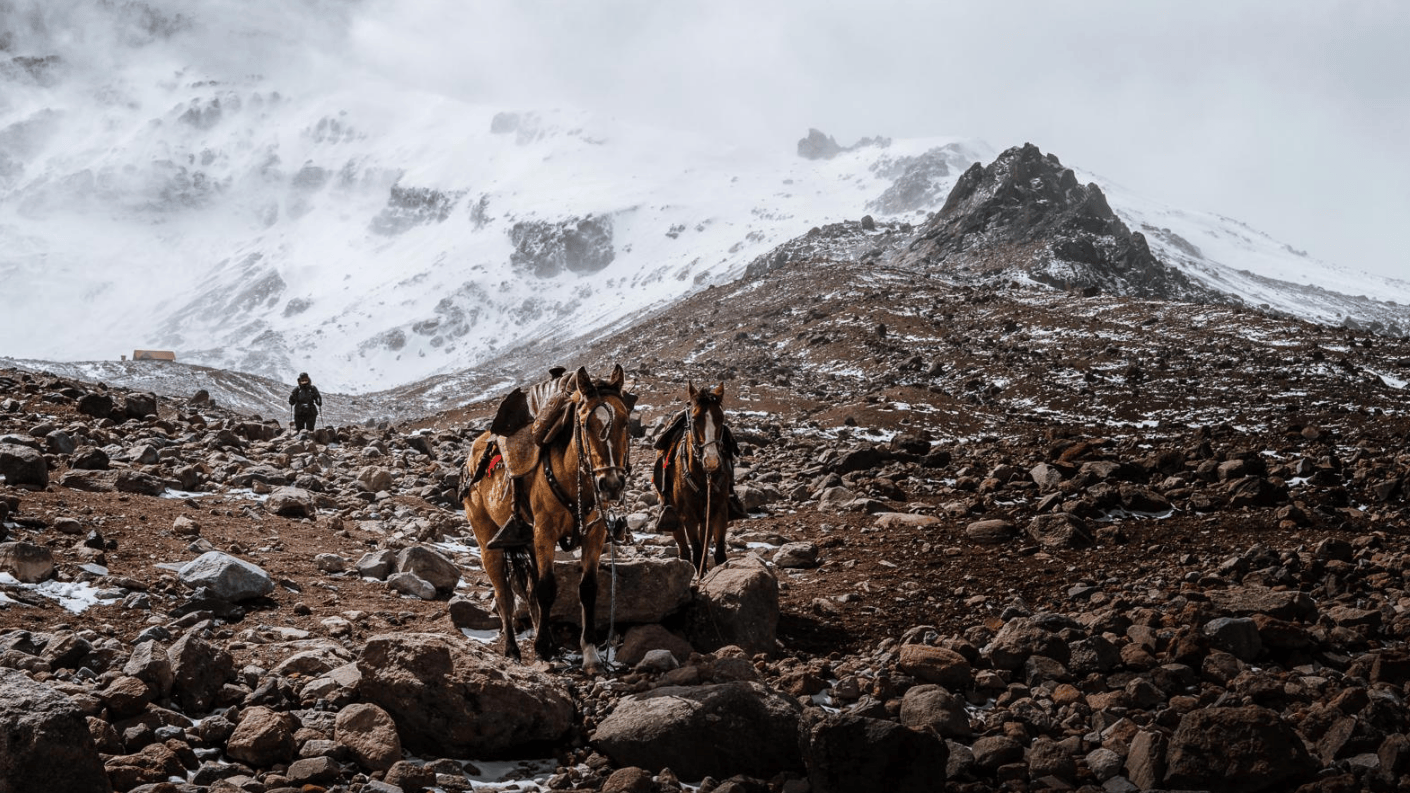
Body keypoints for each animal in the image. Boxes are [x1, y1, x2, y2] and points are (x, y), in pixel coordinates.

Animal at [461, 364, 635, 674]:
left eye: (625, 421)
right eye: (585, 423)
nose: (612, 484)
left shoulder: (595, 534)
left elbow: (587, 589)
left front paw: (590, 655)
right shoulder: (545, 532)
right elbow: (547, 589)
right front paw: (541, 649)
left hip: (528, 541)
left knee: (528, 590)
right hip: (487, 541)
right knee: (504, 595)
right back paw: (513, 649)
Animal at [654, 383, 734, 577]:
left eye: (721, 418)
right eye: (696, 419)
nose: (711, 461)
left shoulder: (716, 512)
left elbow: (714, 551)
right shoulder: (687, 516)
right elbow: (697, 552)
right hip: (674, 519)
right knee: (684, 552)